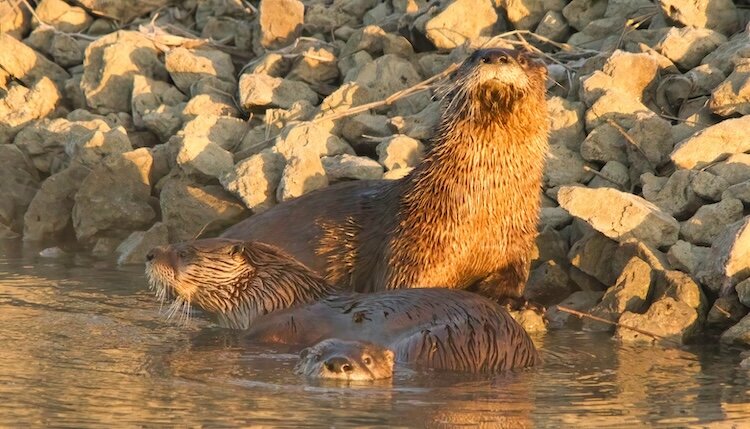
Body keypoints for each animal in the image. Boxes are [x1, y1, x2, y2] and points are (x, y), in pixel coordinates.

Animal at [221, 48, 549, 302]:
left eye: (522, 58)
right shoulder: (409, 249)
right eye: (472, 56)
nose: (494, 56)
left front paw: (511, 300)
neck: (480, 212)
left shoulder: (517, 239)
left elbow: (513, 277)